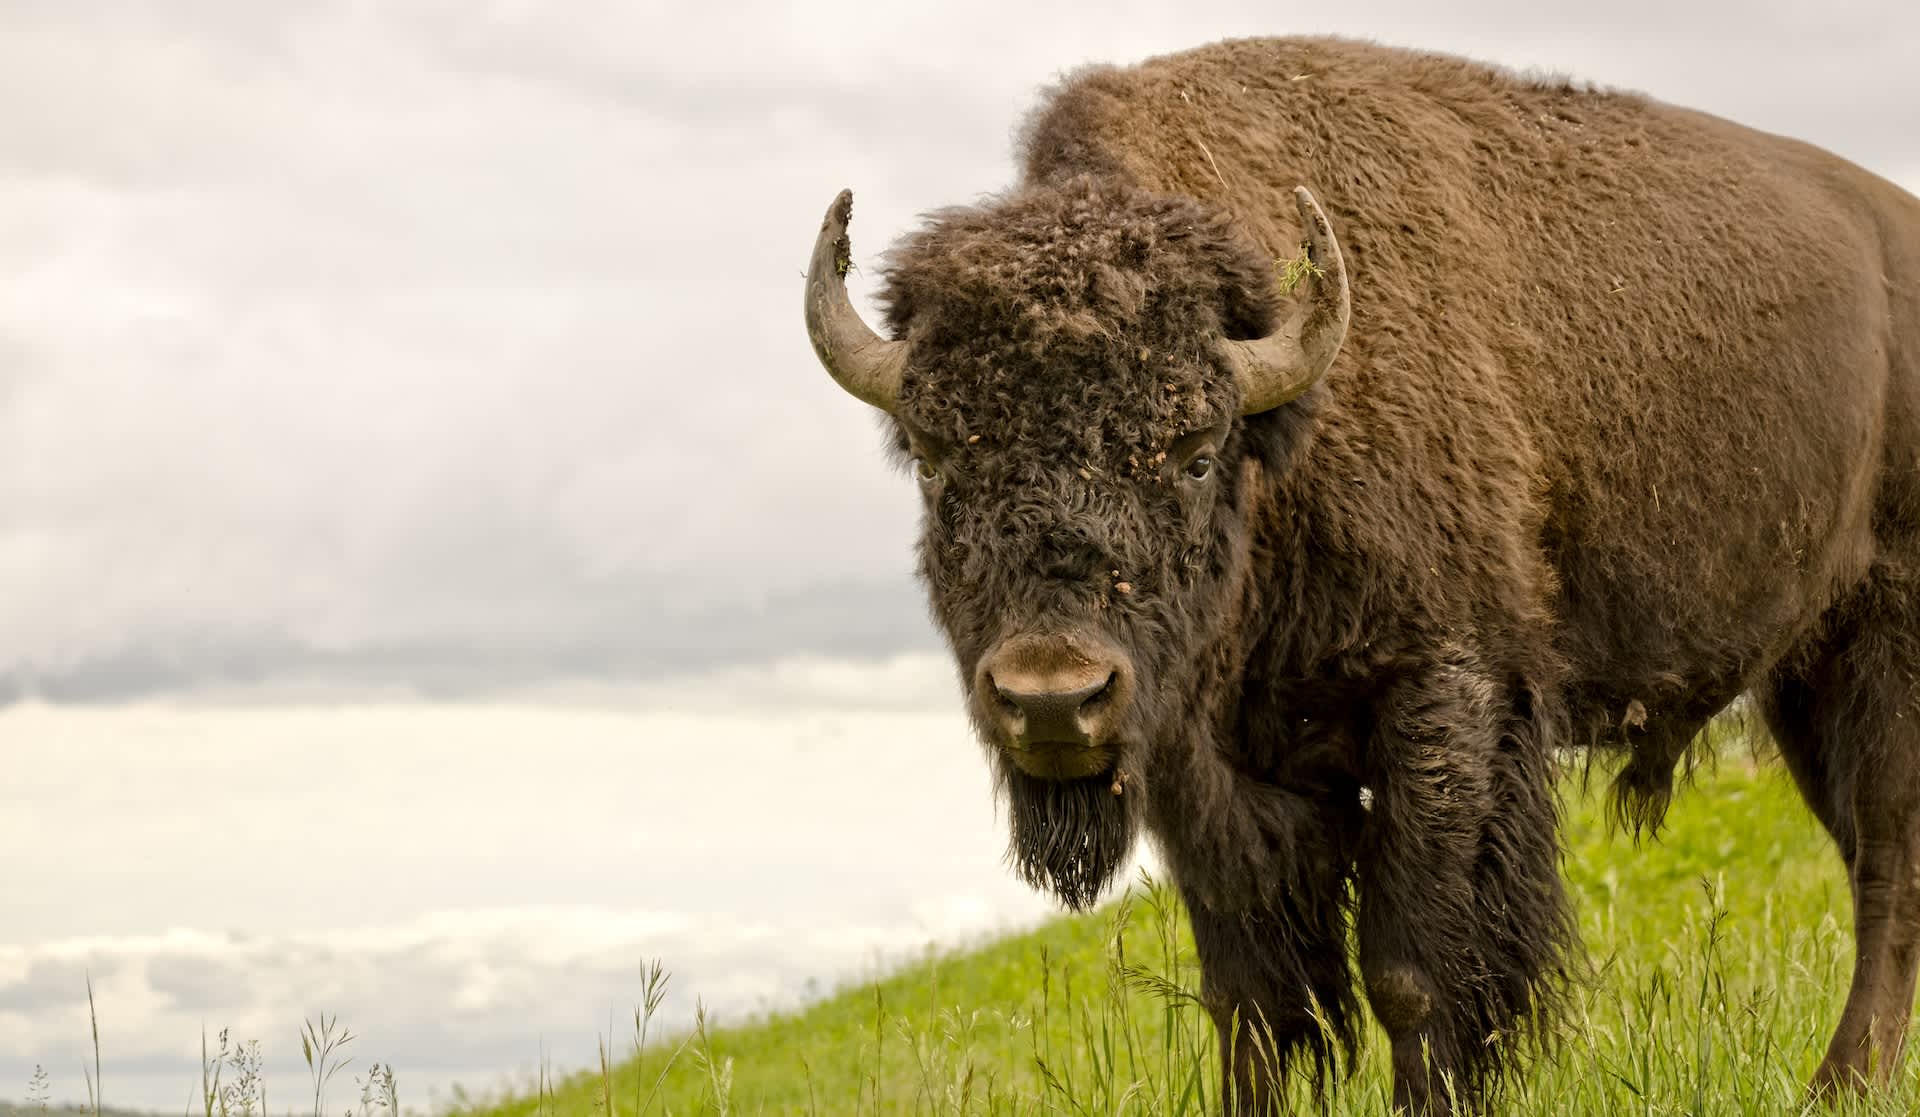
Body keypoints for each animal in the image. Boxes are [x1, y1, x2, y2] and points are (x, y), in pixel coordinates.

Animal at [800, 36, 1920, 1114]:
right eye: (936, 457)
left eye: (1194, 451)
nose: (1050, 695)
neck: (1282, 442)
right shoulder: (1209, 771)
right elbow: (1254, 998)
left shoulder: (1440, 700)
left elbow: (1415, 970)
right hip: (1805, 680)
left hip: (1886, 649)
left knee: (1889, 866)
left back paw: (1841, 1084)